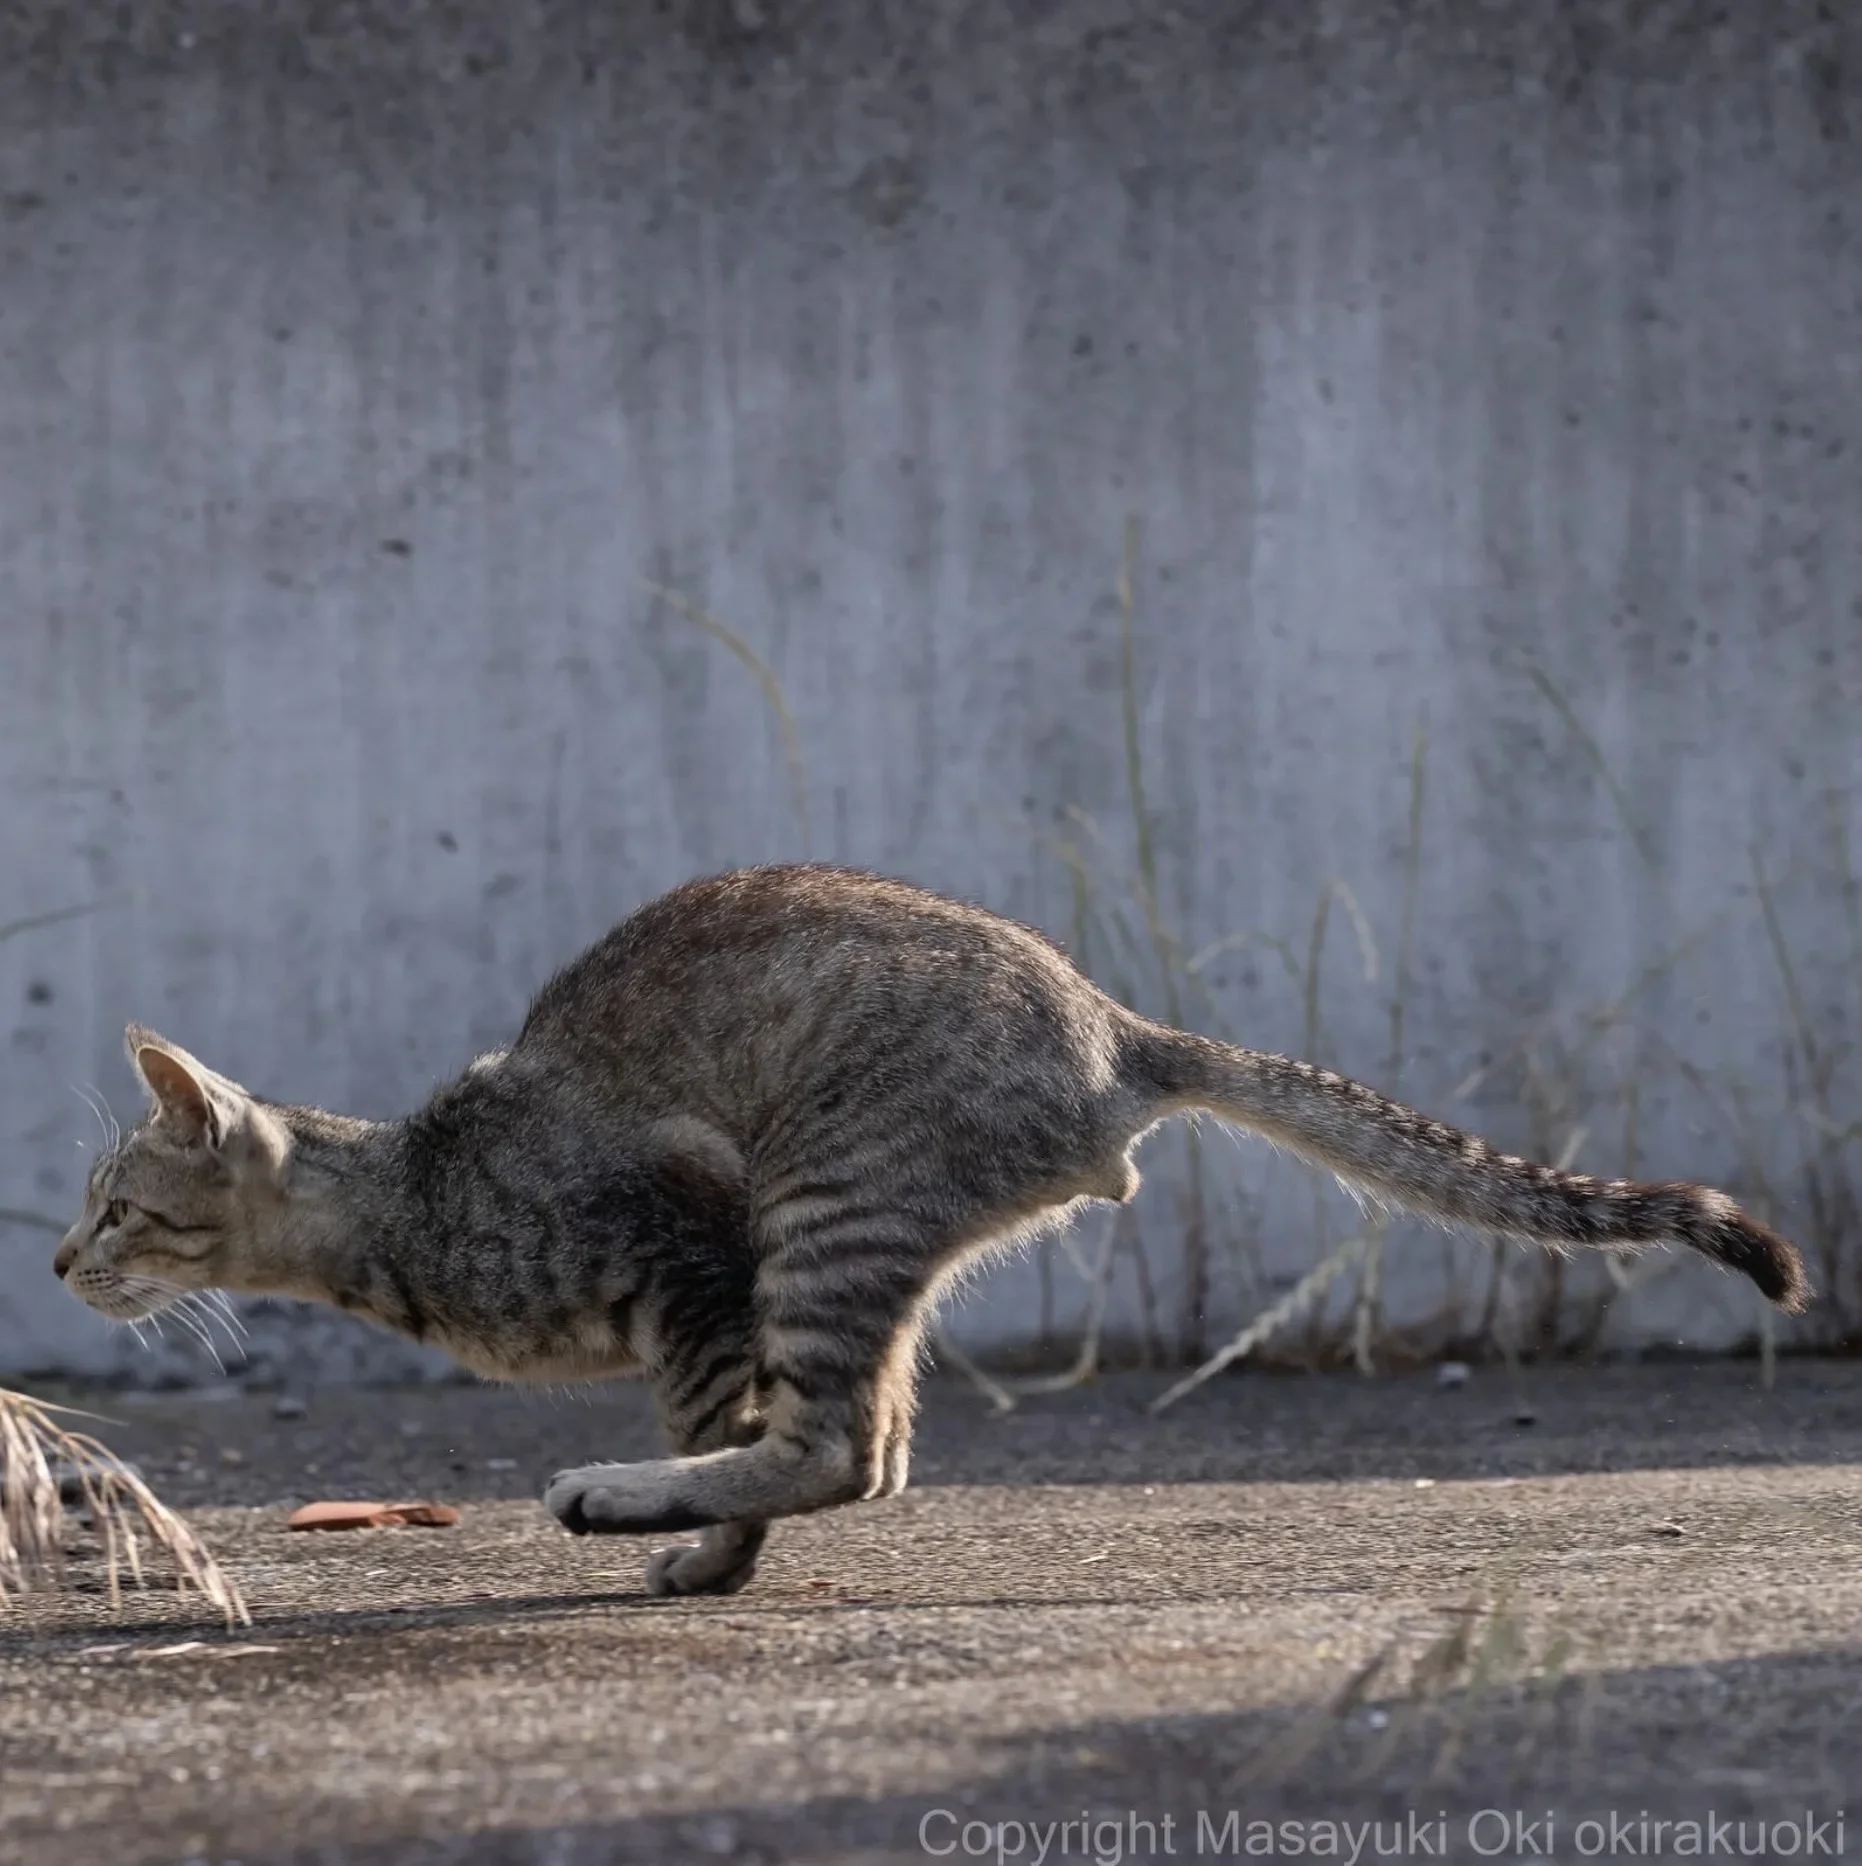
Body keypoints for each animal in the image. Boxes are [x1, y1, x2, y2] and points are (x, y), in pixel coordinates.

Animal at [54, 865, 1806, 1597]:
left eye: (114, 1203)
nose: (62, 1262)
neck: (408, 1197)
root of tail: (1113, 1026)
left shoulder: (690, 1254)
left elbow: (724, 1419)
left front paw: (702, 1549)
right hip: (867, 1242)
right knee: (876, 1443)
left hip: (824, 1196)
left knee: (836, 1444)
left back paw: (623, 1497)